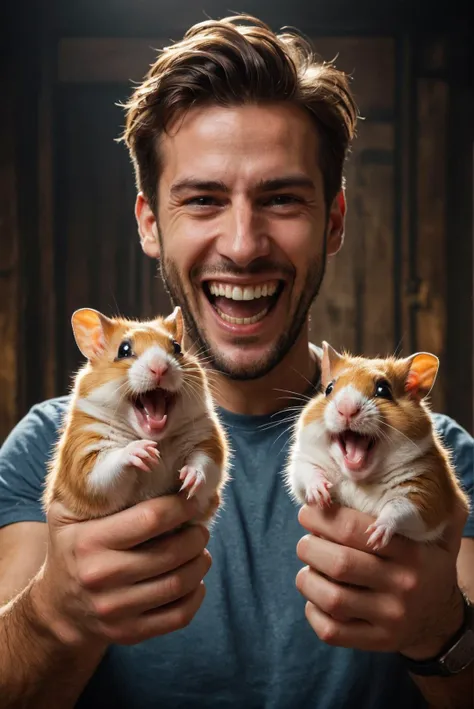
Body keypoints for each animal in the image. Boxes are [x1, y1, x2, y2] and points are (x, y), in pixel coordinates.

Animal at [42, 306, 230, 524]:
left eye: (177, 348)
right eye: (123, 350)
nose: (160, 368)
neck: (157, 438)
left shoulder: (206, 439)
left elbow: (205, 461)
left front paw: (189, 479)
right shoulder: (83, 457)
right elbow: (102, 470)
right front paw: (143, 451)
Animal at [286, 340, 470, 552]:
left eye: (383, 390)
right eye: (329, 389)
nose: (346, 409)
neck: (359, 479)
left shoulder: (428, 491)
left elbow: (401, 507)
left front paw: (375, 535)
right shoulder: (304, 461)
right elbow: (307, 472)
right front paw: (320, 493)